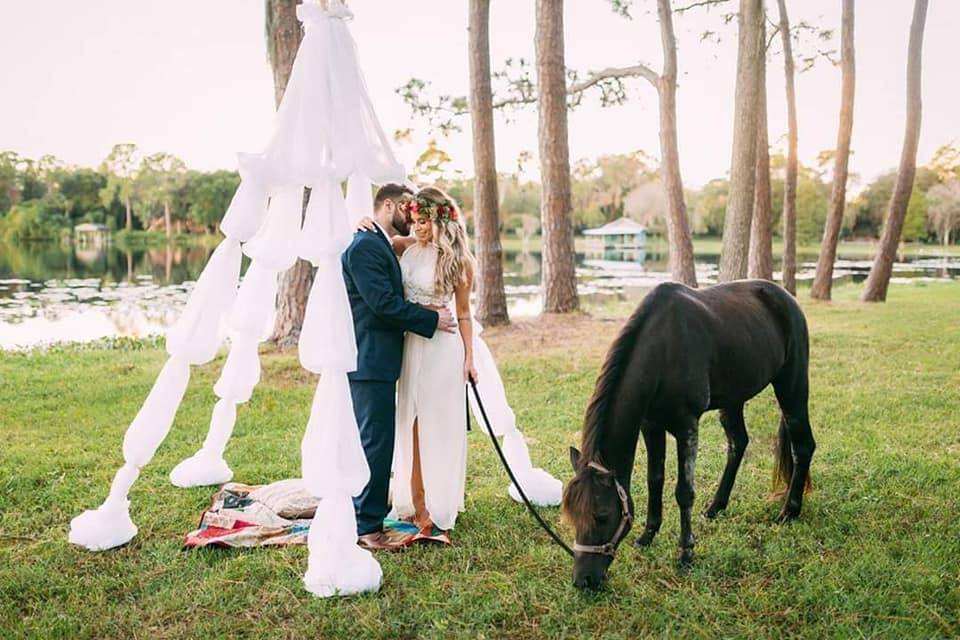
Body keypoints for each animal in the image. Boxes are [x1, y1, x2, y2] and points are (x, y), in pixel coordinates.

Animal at [564, 280, 816, 592]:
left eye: (602, 515)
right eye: (571, 515)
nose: (583, 580)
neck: (663, 350)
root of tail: (785, 298)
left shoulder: (687, 426)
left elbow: (684, 492)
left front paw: (686, 552)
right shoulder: (651, 425)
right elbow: (654, 480)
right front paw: (648, 534)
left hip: (792, 387)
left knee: (803, 447)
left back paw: (789, 512)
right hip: (733, 399)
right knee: (738, 443)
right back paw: (717, 506)